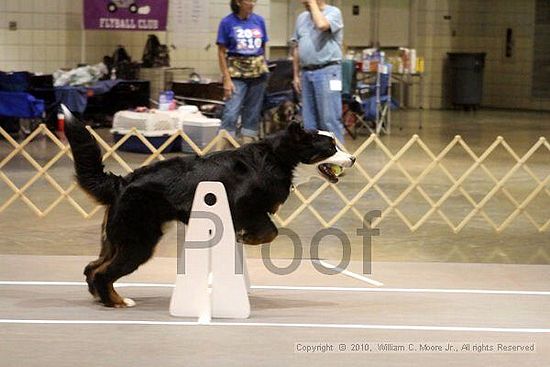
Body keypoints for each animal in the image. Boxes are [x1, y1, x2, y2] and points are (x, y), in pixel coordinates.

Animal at [62, 105, 356, 308]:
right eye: (331, 147)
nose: (353, 158)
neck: (277, 159)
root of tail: (123, 182)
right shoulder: (246, 208)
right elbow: (270, 231)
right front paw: (247, 237)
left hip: (116, 239)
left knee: (92, 268)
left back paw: (100, 297)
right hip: (138, 241)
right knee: (103, 272)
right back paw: (117, 301)